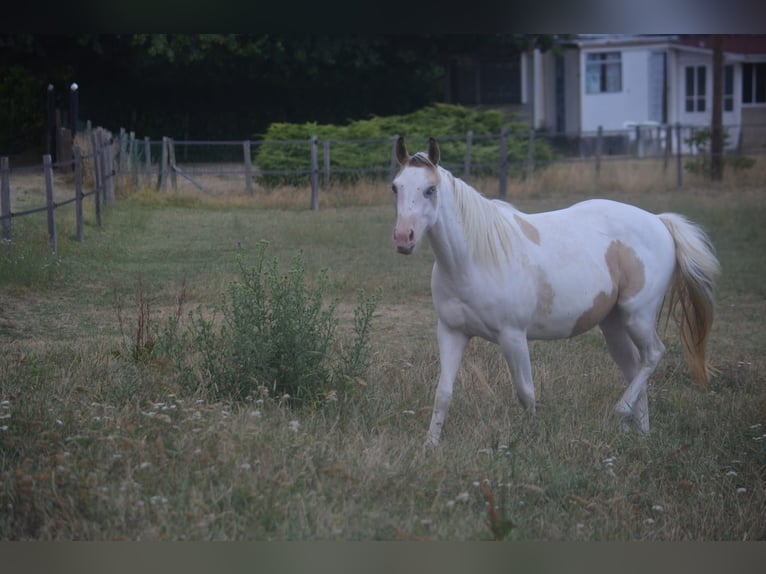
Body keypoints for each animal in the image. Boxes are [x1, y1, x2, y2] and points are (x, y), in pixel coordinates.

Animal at [390, 136, 721, 448]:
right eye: (396, 188)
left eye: (430, 189)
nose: (403, 238)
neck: (473, 259)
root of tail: (659, 222)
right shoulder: (451, 332)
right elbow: (443, 392)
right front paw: (430, 445)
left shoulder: (513, 336)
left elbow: (525, 393)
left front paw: (532, 438)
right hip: (613, 324)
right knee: (634, 367)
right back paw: (640, 433)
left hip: (637, 316)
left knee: (653, 355)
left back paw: (621, 412)